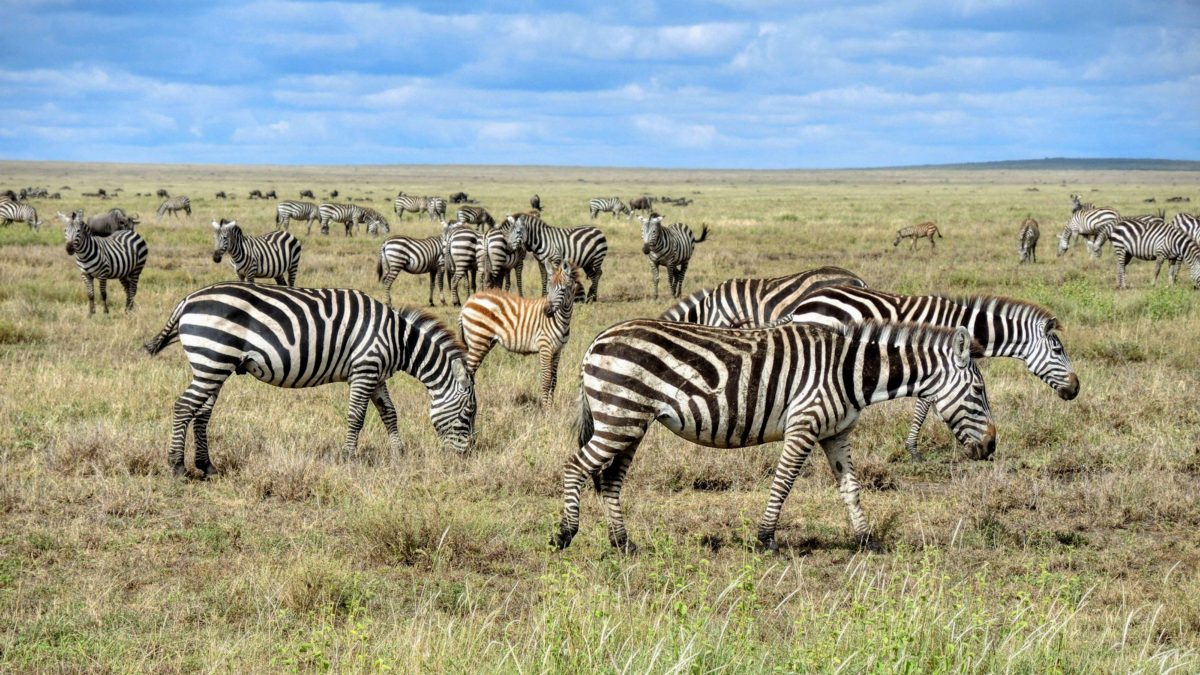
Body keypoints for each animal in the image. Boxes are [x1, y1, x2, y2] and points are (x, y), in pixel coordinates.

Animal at [143, 283, 476, 477]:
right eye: (469, 414)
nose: (465, 458)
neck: (399, 340)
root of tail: (187, 299)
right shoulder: (364, 368)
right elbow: (357, 417)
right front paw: (349, 458)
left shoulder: (376, 374)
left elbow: (389, 414)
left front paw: (398, 453)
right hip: (212, 359)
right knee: (184, 407)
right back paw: (177, 467)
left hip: (213, 365)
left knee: (201, 412)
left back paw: (207, 466)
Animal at [460, 261, 581, 408]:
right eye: (548, 289)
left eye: (563, 290)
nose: (546, 311)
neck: (562, 319)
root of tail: (468, 301)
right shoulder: (545, 347)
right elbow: (546, 379)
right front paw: (546, 409)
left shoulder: (558, 350)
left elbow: (554, 380)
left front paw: (551, 407)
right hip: (478, 339)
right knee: (467, 373)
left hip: (484, 341)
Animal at [554, 319, 995, 553]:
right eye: (978, 391)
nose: (992, 447)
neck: (851, 372)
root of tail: (597, 340)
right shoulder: (804, 424)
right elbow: (782, 484)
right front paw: (765, 538)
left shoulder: (836, 433)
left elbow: (851, 488)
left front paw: (867, 539)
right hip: (620, 417)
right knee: (574, 467)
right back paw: (565, 534)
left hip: (630, 423)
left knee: (610, 479)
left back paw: (622, 543)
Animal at [791, 286, 1079, 461]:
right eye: (1057, 350)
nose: (1076, 389)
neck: (966, 326)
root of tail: (807, 300)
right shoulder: (935, 361)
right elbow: (925, 404)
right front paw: (913, 451)